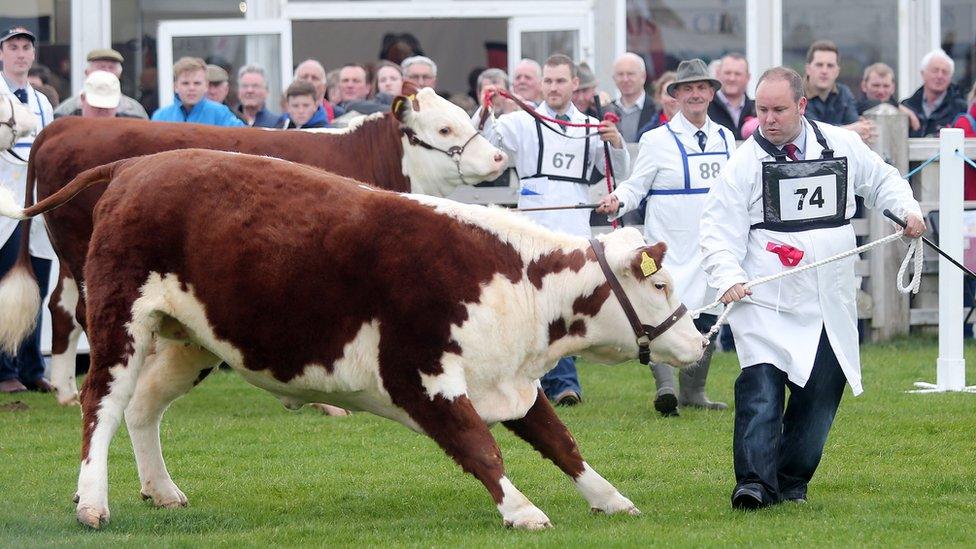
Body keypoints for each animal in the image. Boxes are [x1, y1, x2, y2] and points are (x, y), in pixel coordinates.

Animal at [0, 86, 504, 402]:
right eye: (444, 129)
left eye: (468, 119)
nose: (499, 156)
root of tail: (62, 127)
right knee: (84, 313)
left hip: (73, 258)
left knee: (61, 308)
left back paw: (64, 389)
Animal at [0, 149, 700, 528]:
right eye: (662, 286)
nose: (699, 340)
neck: (511, 283)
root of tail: (139, 163)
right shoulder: (420, 376)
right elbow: (482, 449)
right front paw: (521, 510)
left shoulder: (513, 383)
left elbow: (563, 444)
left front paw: (610, 499)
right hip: (119, 319)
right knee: (102, 404)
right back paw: (92, 502)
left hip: (192, 339)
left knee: (144, 408)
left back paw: (163, 490)